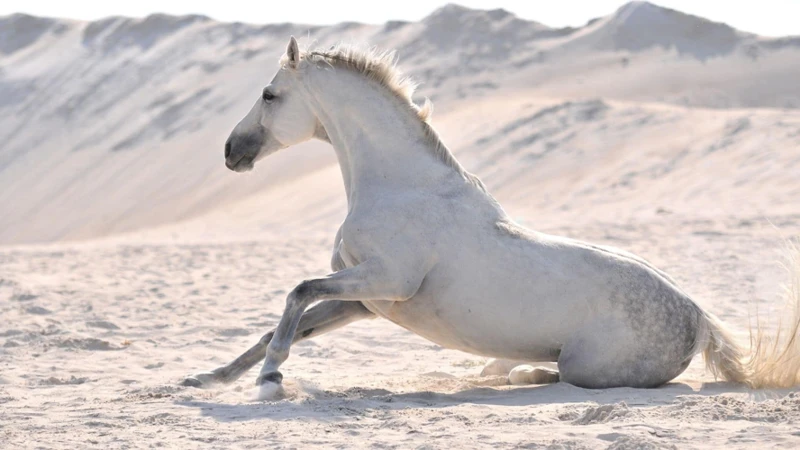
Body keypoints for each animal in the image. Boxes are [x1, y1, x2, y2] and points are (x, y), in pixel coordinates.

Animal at [183, 37, 800, 400]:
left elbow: (295, 293)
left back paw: (514, 374)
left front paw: (270, 381)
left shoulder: (386, 281)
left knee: (560, 375)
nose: (231, 152)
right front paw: (210, 378)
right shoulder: (365, 299)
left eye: (269, 94)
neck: (402, 187)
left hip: (591, 367)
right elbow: (284, 320)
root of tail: (699, 316)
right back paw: (501, 372)